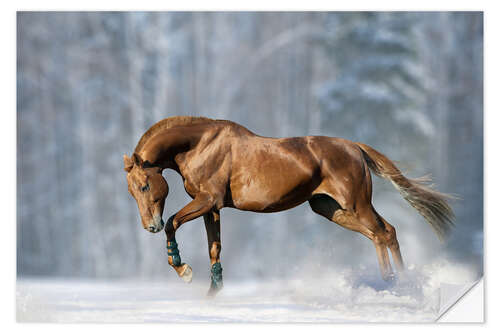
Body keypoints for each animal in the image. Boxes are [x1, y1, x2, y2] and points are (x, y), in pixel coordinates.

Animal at [123, 115, 456, 294]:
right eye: (131, 191)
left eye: (144, 185)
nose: (149, 226)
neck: (199, 145)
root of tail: (356, 148)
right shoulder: (212, 208)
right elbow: (214, 248)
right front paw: (213, 292)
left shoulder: (206, 200)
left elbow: (173, 222)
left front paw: (183, 269)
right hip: (332, 209)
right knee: (382, 232)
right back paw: (395, 282)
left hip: (356, 203)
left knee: (384, 233)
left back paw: (398, 284)